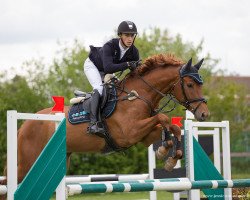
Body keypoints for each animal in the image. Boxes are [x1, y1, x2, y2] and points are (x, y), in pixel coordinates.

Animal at [0, 53, 209, 186]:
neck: (137, 95)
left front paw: (170, 156)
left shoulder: (143, 136)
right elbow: (163, 117)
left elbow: (172, 127)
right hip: (27, 163)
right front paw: (166, 150)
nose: (204, 114)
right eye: (190, 85)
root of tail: (24, 125)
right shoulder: (129, 133)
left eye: (200, 84)